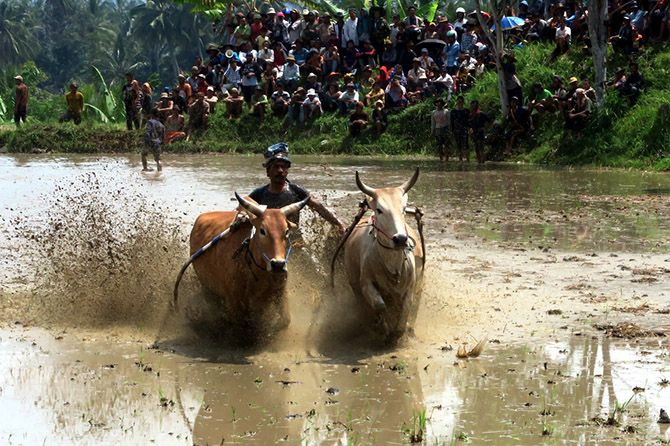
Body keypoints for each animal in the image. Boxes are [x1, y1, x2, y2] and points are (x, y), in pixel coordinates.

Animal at [189, 193, 310, 336]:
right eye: (262, 230)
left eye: (286, 231)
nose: (278, 265)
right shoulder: (235, 303)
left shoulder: (280, 291)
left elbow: (285, 320)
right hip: (207, 289)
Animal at [346, 169, 426, 344]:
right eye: (380, 210)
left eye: (404, 208)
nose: (400, 239)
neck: (392, 263)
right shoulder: (365, 284)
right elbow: (380, 305)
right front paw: (383, 327)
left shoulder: (411, 286)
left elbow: (406, 307)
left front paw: (398, 332)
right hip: (354, 284)